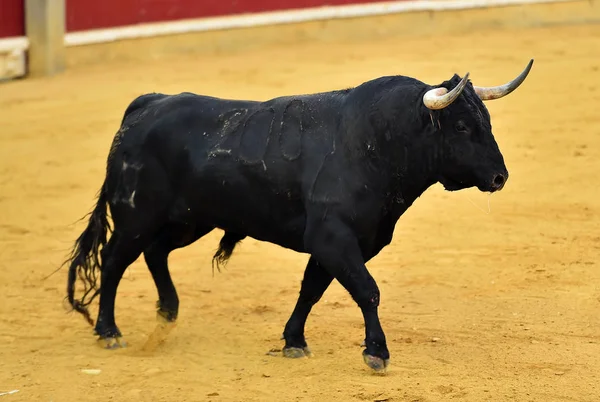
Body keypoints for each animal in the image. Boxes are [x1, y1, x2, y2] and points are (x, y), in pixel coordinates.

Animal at [64, 59, 536, 370]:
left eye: (487, 121)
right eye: (462, 126)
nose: (500, 177)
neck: (376, 144)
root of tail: (148, 104)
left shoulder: (343, 243)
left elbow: (311, 290)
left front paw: (294, 341)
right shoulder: (332, 237)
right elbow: (367, 290)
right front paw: (376, 352)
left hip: (189, 220)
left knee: (155, 253)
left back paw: (167, 315)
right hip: (137, 215)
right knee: (114, 260)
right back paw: (110, 332)